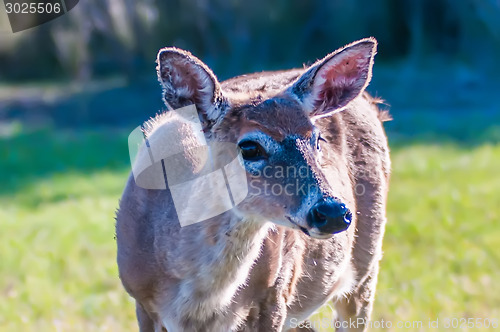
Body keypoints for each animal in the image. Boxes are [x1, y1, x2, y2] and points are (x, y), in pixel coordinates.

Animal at [116, 37, 390, 330]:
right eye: (249, 147)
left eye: (318, 140)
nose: (332, 212)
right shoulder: (141, 302)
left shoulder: (272, 296)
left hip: (365, 263)